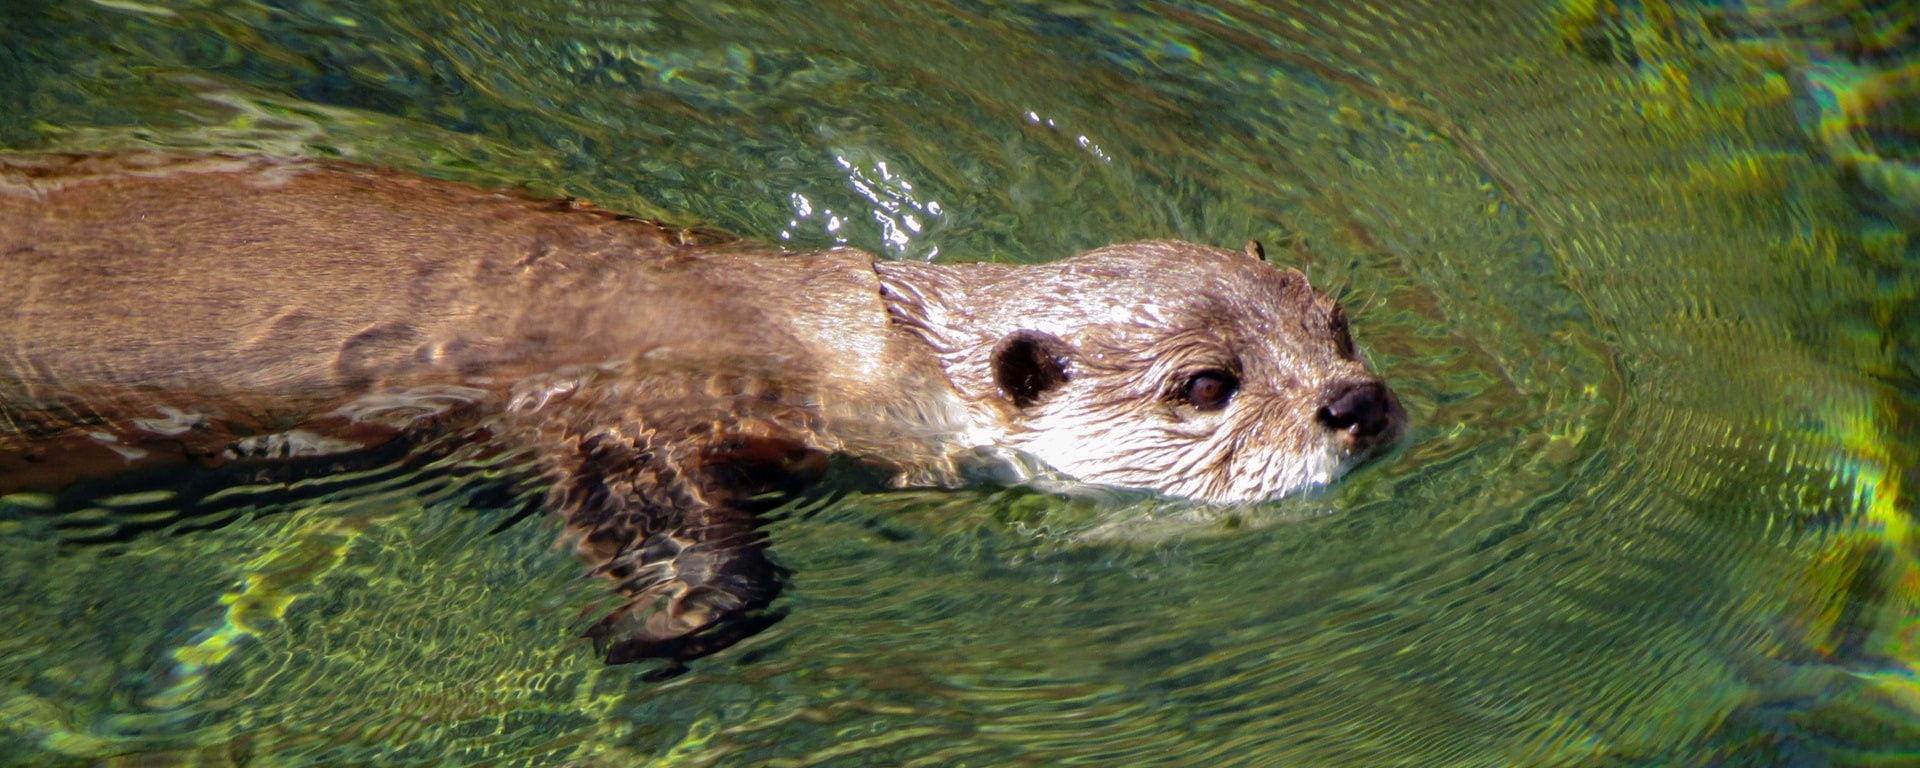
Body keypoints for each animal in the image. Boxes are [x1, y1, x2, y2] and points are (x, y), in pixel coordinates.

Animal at [0, 152, 1404, 665]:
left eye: (1335, 325)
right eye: (1207, 385)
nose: (1358, 405)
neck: (830, 345)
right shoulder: (628, 412)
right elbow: (671, 529)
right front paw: (657, 631)